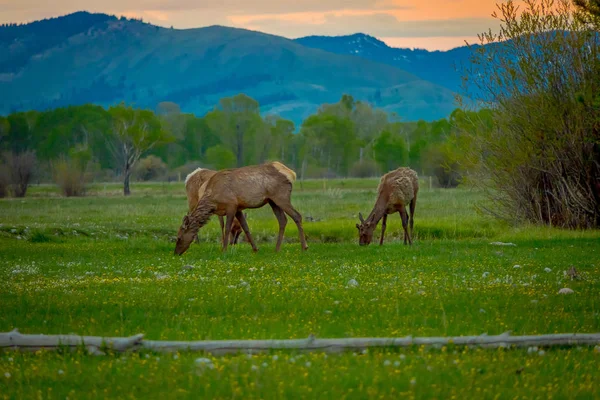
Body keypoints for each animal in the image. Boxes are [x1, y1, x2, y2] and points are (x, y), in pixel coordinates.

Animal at [172, 161, 304, 255]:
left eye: (179, 237)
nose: (175, 253)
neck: (212, 199)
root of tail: (291, 173)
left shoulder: (231, 205)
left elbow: (227, 228)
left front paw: (224, 249)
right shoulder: (239, 208)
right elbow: (246, 227)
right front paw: (255, 249)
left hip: (281, 197)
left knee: (297, 215)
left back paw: (304, 246)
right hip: (273, 201)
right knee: (283, 220)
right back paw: (276, 249)